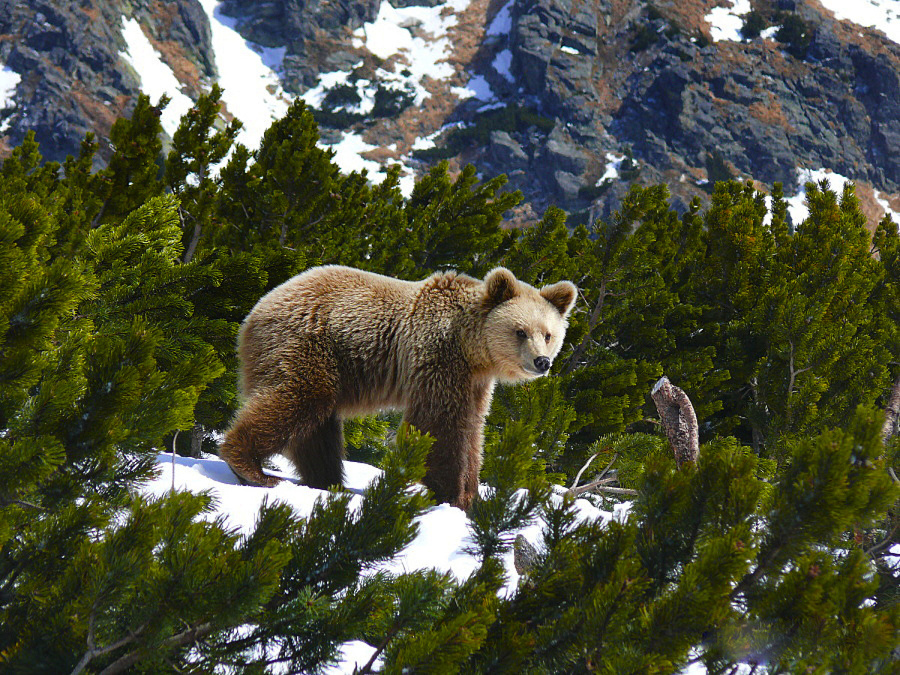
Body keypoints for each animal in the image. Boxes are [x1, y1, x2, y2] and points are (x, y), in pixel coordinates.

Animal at [221, 264, 580, 508]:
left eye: (548, 334)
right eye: (520, 331)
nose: (541, 362)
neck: (471, 348)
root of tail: (258, 307)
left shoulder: (474, 381)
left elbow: (472, 429)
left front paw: (471, 495)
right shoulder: (437, 357)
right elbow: (437, 426)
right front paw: (449, 493)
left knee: (319, 428)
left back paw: (327, 481)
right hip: (308, 344)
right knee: (296, 399)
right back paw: (251, 467)